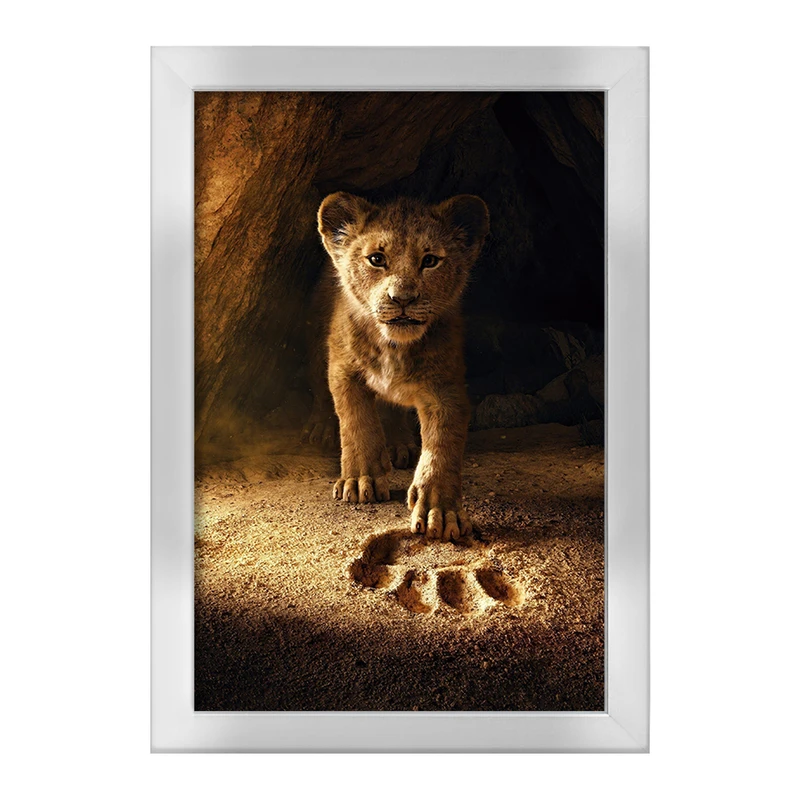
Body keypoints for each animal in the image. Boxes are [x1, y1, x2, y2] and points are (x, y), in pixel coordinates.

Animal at [316, 192, 490, 541]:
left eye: (430, 260)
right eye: (376, 259)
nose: (403, 299)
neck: (394, 347)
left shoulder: (445, 387)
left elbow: (442, 445)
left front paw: (441, 511)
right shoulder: (342, 369)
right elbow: (357, 422)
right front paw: (361, 479)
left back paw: (400, 446)